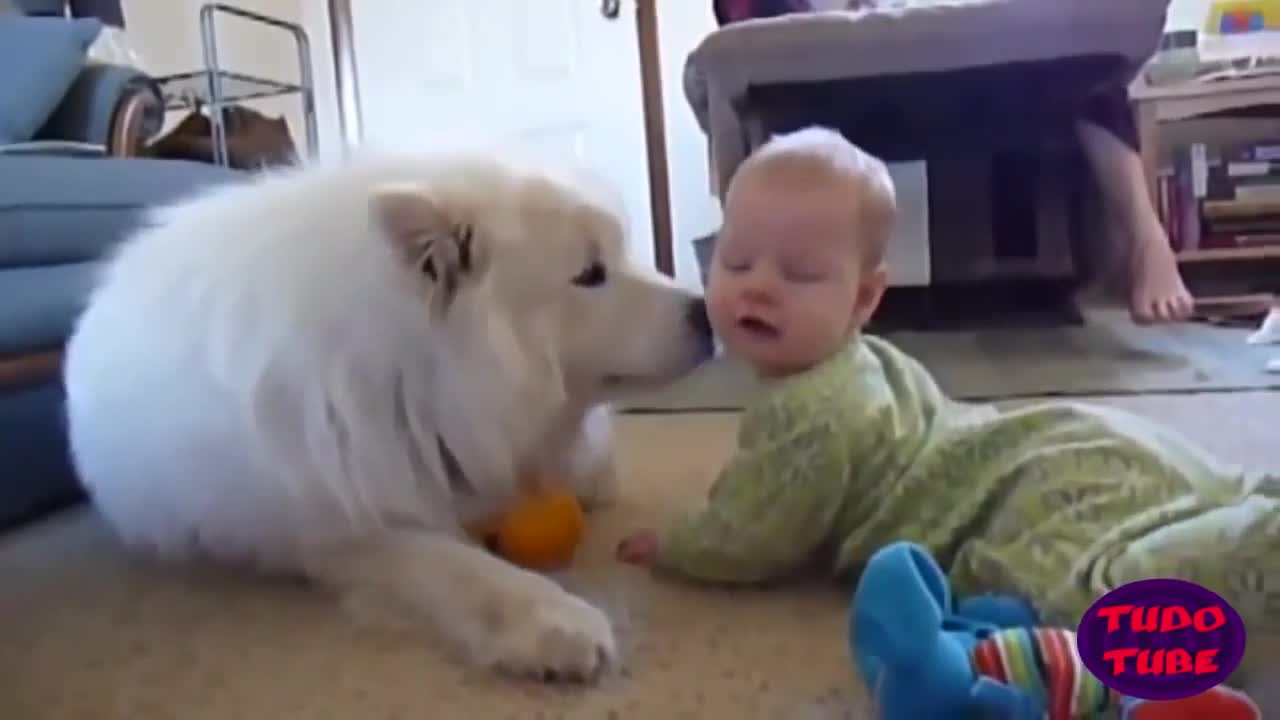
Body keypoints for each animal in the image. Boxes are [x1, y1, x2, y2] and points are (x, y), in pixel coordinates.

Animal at [64, 149, 716, 676]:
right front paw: (551, 619)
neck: (413, 373)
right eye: (590, 273)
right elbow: (457, 565)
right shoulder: (343, 527)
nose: (706, 311)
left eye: (624, 250)